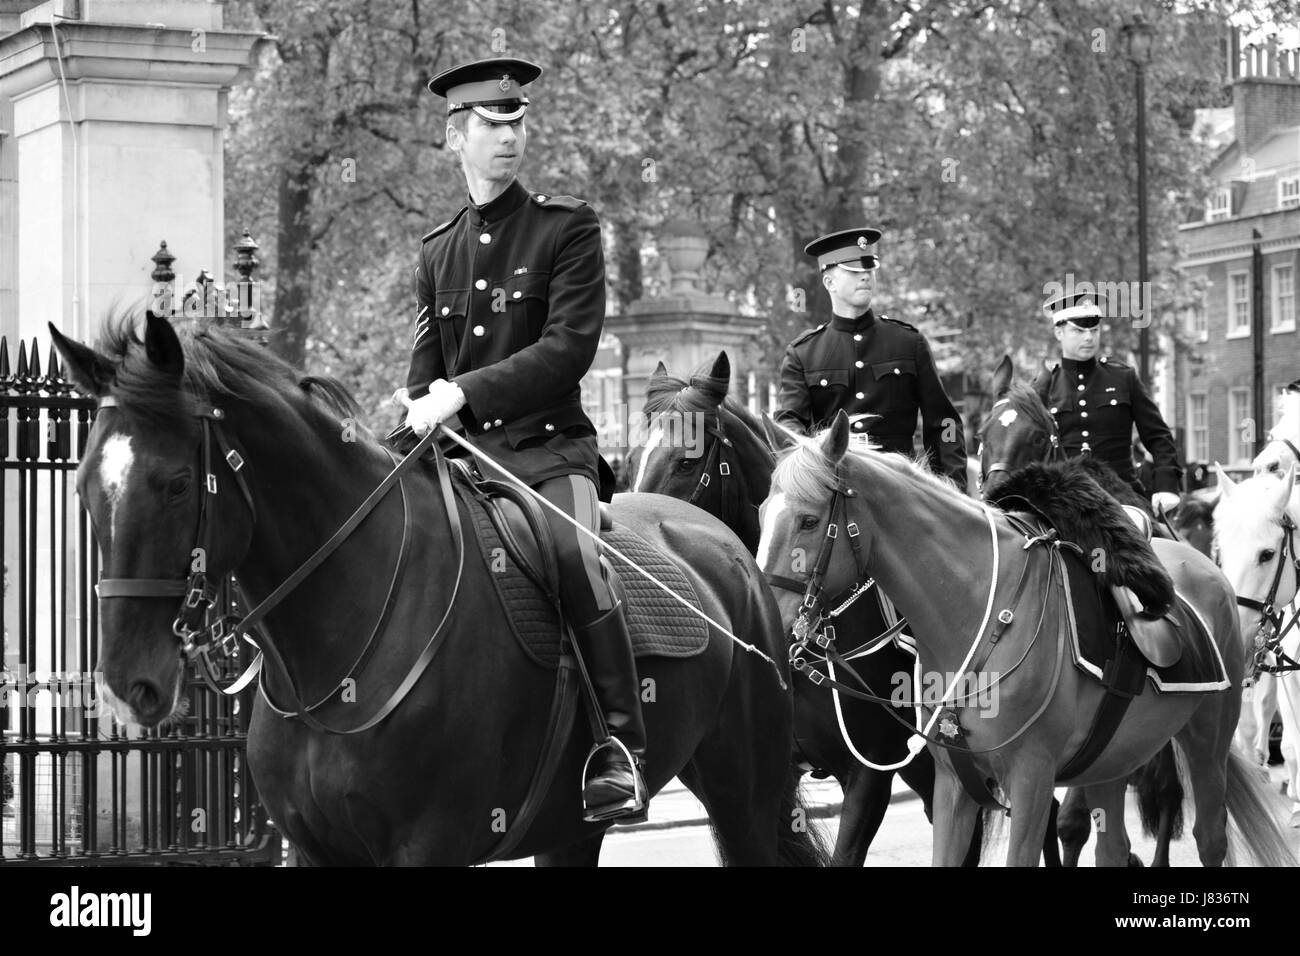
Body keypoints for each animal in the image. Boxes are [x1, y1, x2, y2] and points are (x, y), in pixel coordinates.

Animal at [53, 316, 821, 868]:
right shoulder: (318, 851)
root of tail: (728, 546)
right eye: (84, 482)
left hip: (745, 795)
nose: (128, 685)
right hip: (570, 829)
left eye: (177, 483)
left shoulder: (429, 845)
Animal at [759, 411, 1294, 868]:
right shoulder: (954, 785)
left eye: (809, 520)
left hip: (1207, 740)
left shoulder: (1031, 779)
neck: (973, 611)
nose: (767, 616)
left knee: (1209, 837)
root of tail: (1208, 566)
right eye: (762, 512)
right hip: (1112, 758)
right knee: (1113, 846)